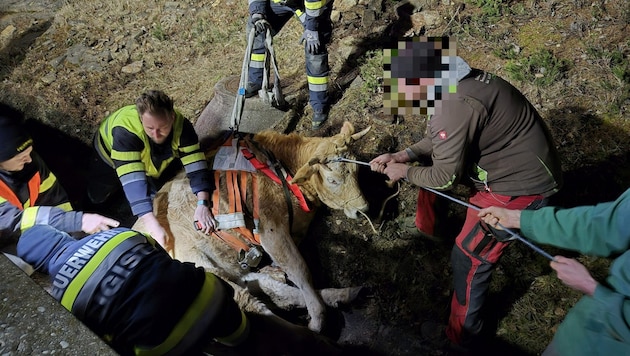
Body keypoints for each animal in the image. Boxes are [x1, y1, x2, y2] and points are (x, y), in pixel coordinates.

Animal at [134, 121, 370, 332]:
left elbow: (292, 272)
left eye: (357, 170)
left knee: (265, 286)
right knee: (247, 301)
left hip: (224, 266)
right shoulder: (269, 229)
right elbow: (300, 268)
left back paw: (340, 295)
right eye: (333, 180)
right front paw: (318, 317)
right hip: (201, 267)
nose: (363, 209)